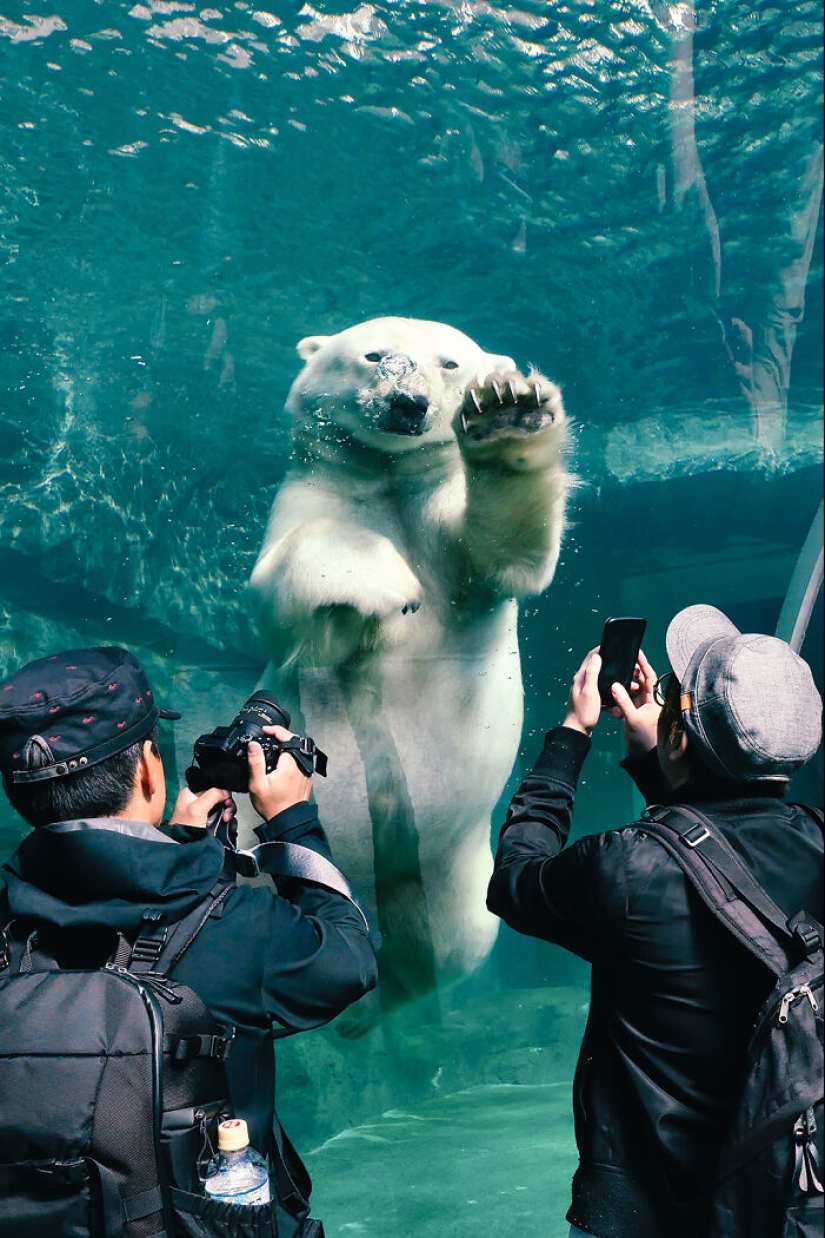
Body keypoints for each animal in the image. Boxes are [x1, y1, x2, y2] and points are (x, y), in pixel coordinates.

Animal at [243, 316, 570, 1022]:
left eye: (449, 364)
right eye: (372, 356)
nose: (407, 404)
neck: (390, 480)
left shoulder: (445, 528)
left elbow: (503, 553)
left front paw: (509, 412)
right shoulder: (312, 498)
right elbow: (292, 599)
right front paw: (382, 583)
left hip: (453, 882)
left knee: (451, 945)